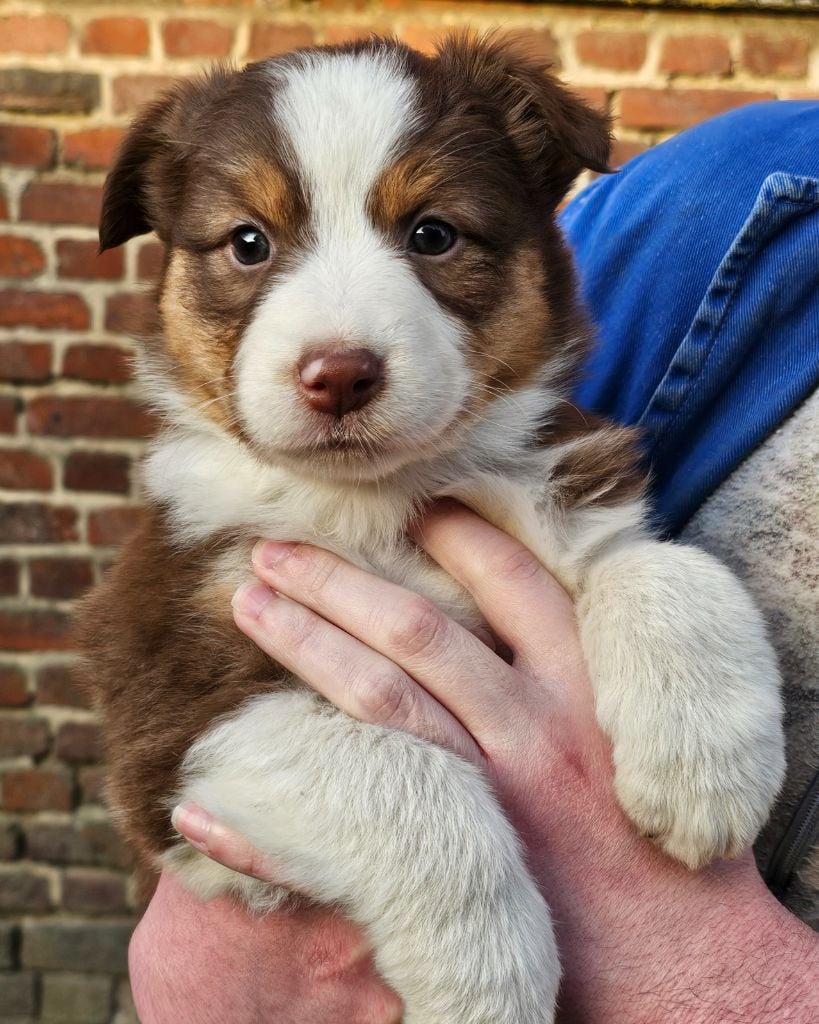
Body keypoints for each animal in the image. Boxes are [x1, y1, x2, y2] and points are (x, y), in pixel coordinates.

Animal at [79, 34, 782, 1024]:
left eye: (433, 234)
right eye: (248, 243)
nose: (337, 374)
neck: (379, 501)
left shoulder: (568, 497)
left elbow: (671, 570)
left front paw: (703, 772)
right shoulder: (168, 712)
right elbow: (406, 775)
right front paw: (486, 979)